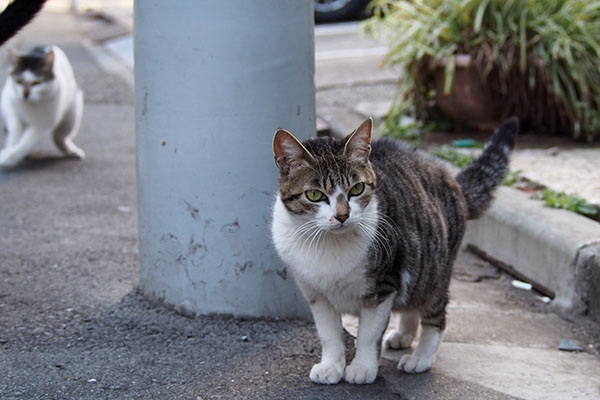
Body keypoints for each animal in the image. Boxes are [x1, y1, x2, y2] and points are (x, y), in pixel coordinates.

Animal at [270, 116, 516, 384]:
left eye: (357, 189)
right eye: (314, 195)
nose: (343, 215)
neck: (329, 244)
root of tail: (451, 178)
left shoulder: (383, 286)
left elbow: (368, 334)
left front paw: (362, 368)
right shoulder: (316, 293)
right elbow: (329, 334)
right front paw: (331, 366)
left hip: (435, 270)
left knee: (436, 314)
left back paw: (420, 357)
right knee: (411, 302)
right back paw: (403, 336)